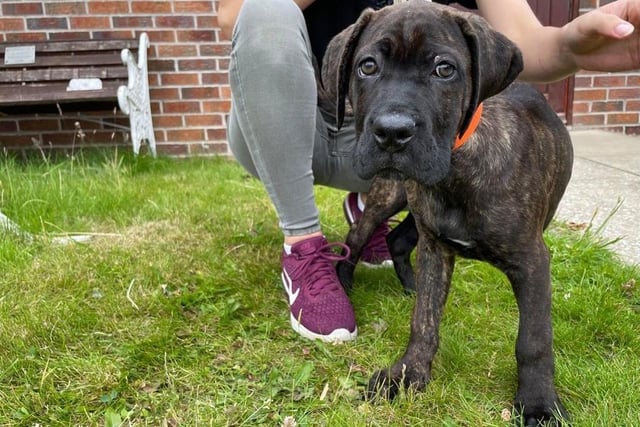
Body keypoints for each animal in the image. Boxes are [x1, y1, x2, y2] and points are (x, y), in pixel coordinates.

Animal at [322, 1, 572, 426]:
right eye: (367, 66)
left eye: (444, 69)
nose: (392, 132)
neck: (457, 168)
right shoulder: (437, 248)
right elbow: (424, 321)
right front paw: (407, 376)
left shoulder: (531, 261)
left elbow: (534, 339)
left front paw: (538, 404)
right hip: (390, 197)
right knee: (356, 238)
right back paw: (345, 282)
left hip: (414, 213)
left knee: (396, 239)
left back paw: (408, 285)